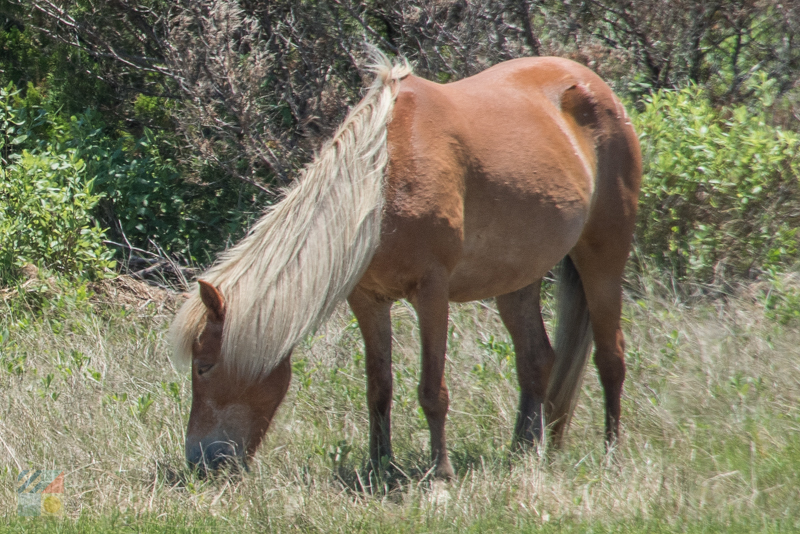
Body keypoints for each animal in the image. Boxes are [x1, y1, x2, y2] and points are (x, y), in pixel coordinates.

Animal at [170, 51, 644, 482]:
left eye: (204, 366)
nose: (199, 461)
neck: (380, 183)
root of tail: (596, 86)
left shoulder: (431, 294)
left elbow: (432, 391)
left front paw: (440, 473)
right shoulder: (368, 300)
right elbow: (379, 387)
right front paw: (379, 465)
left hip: (603, 259)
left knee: (611, 356)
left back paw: (611, 453)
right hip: (517, 279)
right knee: (536, 360)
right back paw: (524, 451)